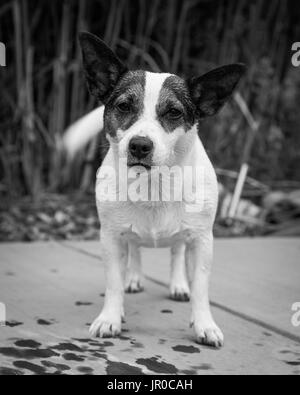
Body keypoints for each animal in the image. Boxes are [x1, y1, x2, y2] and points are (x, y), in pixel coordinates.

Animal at [64, 31, 245, 346]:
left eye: (173, 112)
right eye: (124, 106)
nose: (139, 145)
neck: (154, 184)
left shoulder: (202, 241)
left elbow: (201, 287)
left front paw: (204, 323)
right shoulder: (110, 238)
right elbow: (113, 282)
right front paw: (111, 317)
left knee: (176, 251)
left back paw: (178, 284)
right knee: (135, 248)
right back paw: (134, 278)